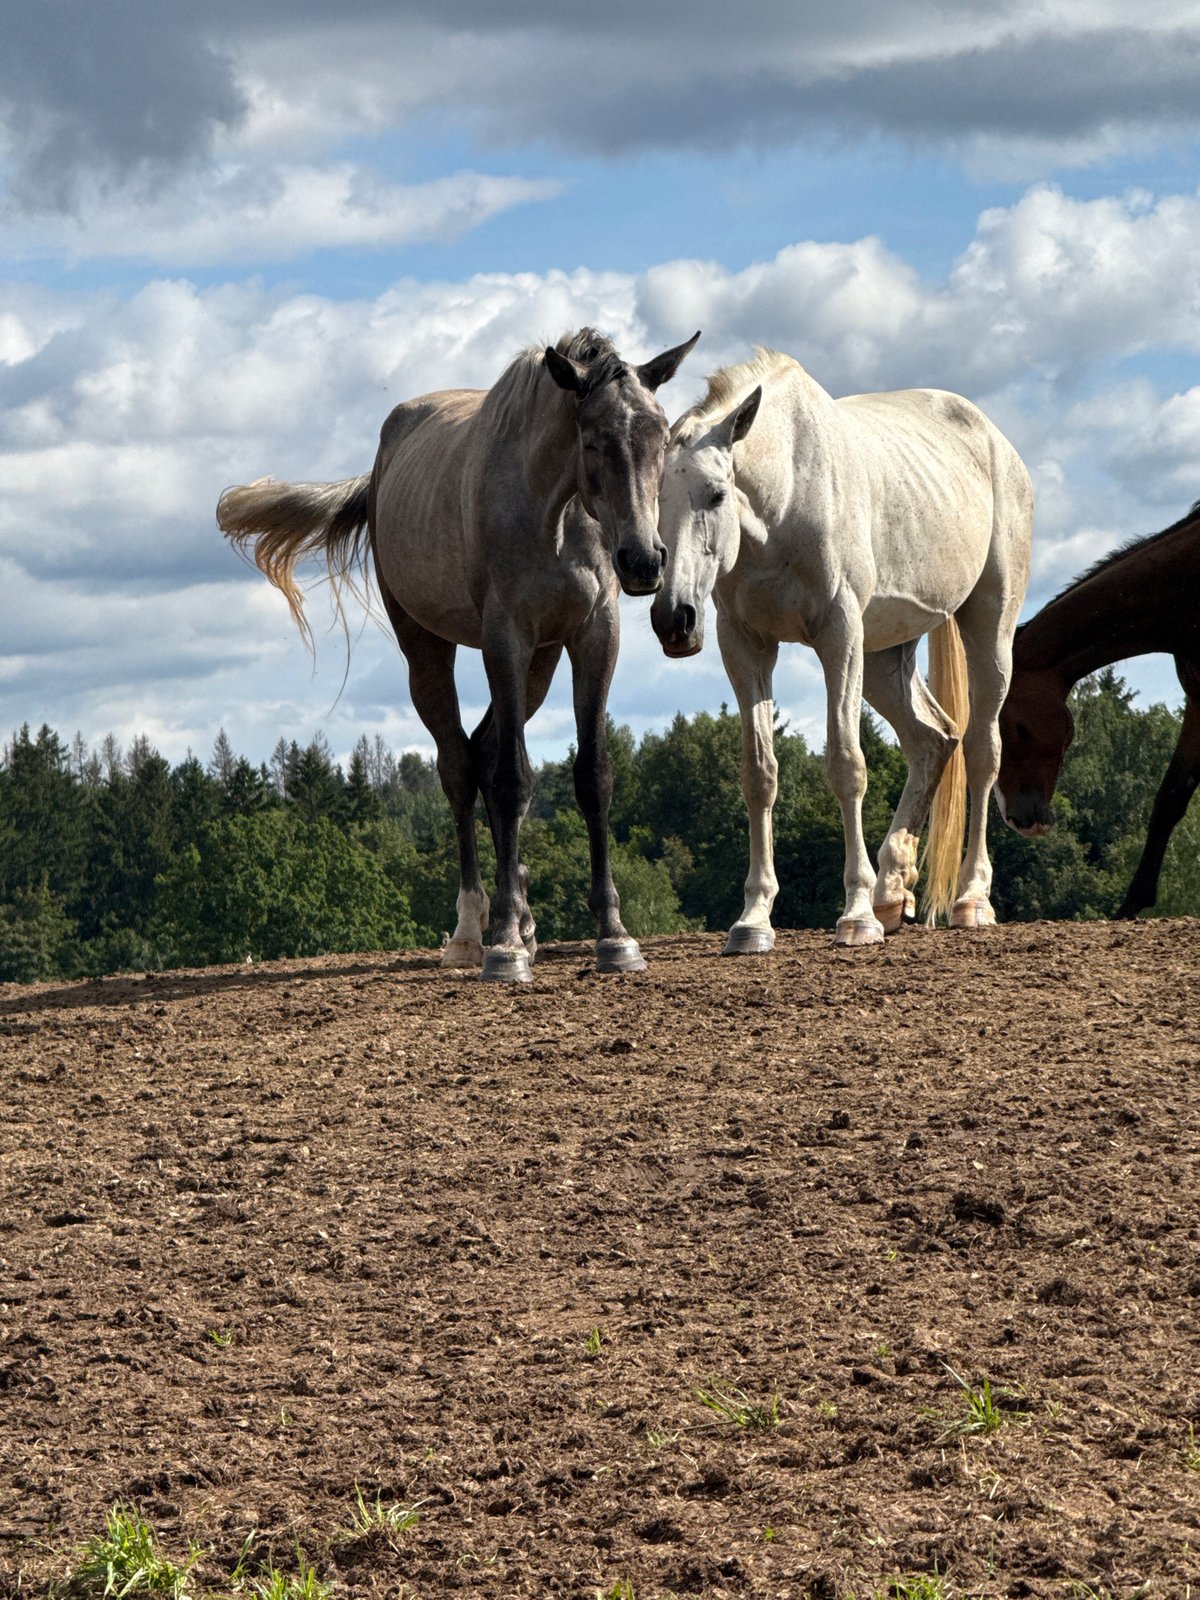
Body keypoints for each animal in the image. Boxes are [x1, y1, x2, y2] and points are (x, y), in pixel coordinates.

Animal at [218, 326, 700, 982]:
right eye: (593, 440)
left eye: (661, 437)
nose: (644, 560)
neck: (556, 512)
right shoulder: (504, 637)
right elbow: (512, 780)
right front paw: (503, 944)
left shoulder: (593, 636)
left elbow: (592, 776)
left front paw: (613, 934)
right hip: (430, 652)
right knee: (460, 765)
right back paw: (474, 928)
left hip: (540, 664)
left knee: (482, 747)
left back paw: (521, 918)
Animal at [649, 350, 1033, 949]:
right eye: (652, 498)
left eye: (716, 494)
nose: (673, 618)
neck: (787, 497)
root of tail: (998, 444)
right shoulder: (746, 645)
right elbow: (759, 775)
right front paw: (753, 920)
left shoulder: (839, 637)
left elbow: (847, 766)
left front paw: (854, 915)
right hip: (883, 657)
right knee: (933, 739)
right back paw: (893, 892)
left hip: (987, 629)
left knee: (980, 749)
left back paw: (971, 899)